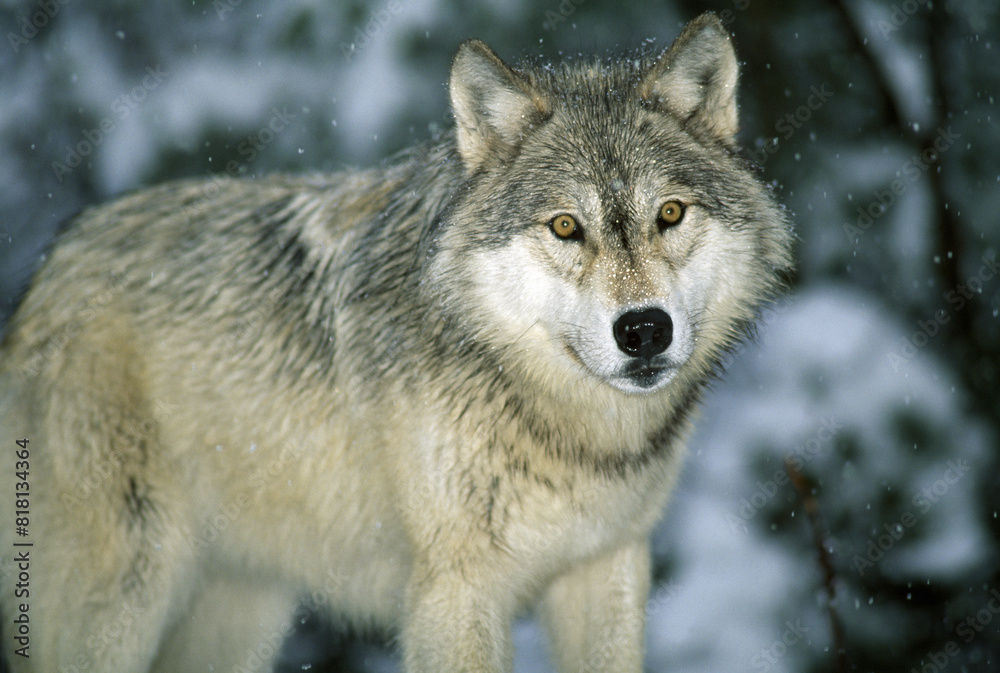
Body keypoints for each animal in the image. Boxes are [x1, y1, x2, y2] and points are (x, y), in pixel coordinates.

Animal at [0, 13, 792, 673]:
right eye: (566, 226)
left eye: (670, 213)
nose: (644, 328)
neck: (569, 431)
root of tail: (45, 277)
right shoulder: (456, 591)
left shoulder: (606, 568)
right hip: (126, 592)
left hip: (240, 613)